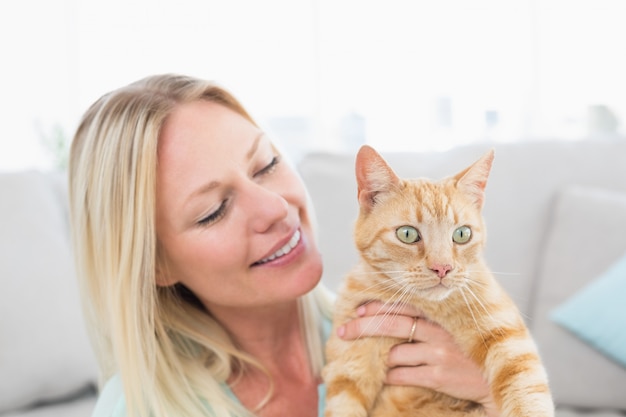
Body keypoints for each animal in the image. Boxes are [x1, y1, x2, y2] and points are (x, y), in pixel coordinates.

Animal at [322, 145, 552, 416]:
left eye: (462, 234)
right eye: (407, 234)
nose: (443, 267)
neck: (431, 308)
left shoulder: (508, 339)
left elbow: (526, 391)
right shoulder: (348, 371)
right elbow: (344, 403)